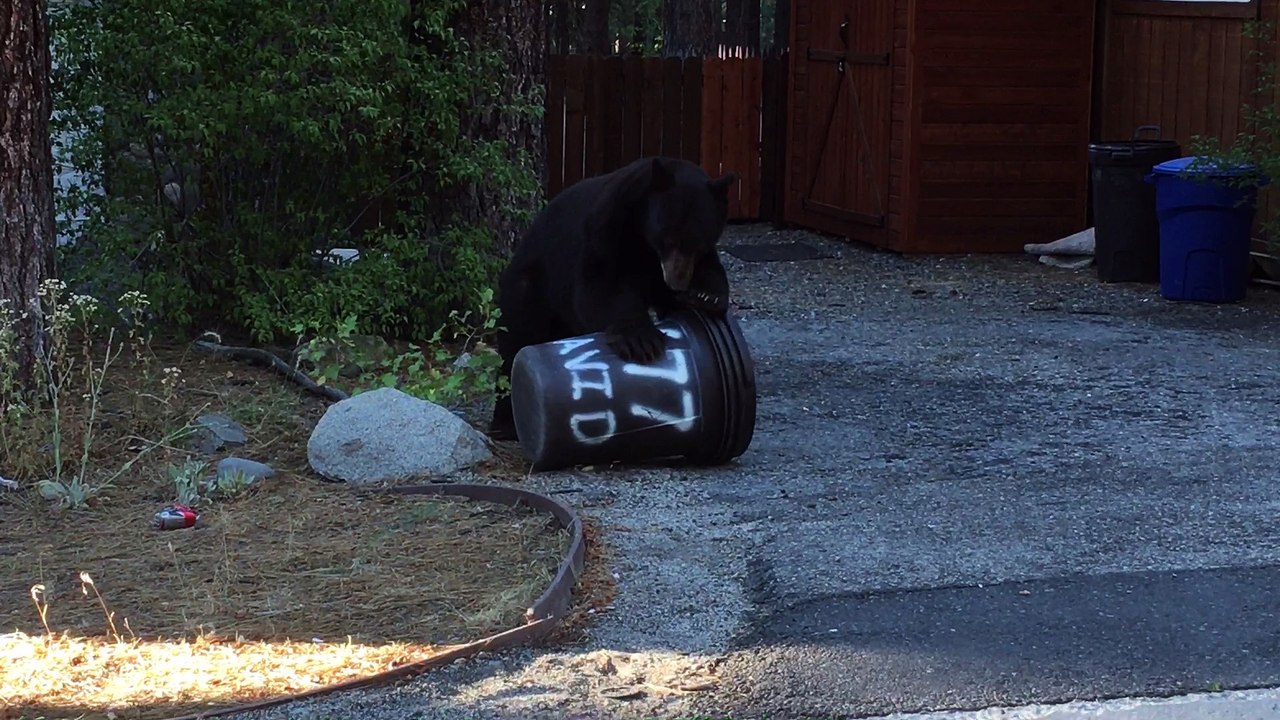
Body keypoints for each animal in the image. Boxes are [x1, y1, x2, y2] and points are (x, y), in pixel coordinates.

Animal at [487, 156, 739, 442]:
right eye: (668, 239)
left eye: (698, 244)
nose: (677, 282)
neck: (645, 243)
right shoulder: (608, 225)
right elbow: (598, 286)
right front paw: (641, 339)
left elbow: (710, 270)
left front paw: (706, 295)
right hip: (529, 287)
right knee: (515, 341)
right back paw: (505, 424)